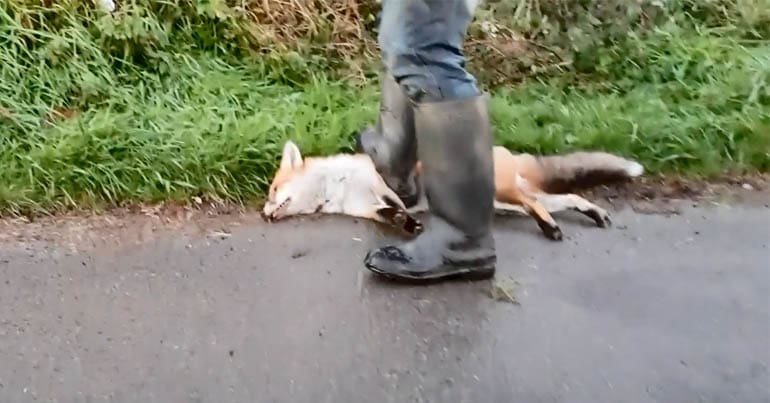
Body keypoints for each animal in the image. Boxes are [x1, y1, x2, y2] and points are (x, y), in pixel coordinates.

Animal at [261, 140, 644, 240]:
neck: (338, 187)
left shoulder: (385, 183)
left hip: (503, 194)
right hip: (507, 204)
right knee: (564, 199)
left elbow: (397, 201)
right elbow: (387, 215)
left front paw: (411, 221)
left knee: (533, 201)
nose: (263, 214)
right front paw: (405, 224)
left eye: (274, 189)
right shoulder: (365, 207)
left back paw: (550, 227)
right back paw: (591, 214)